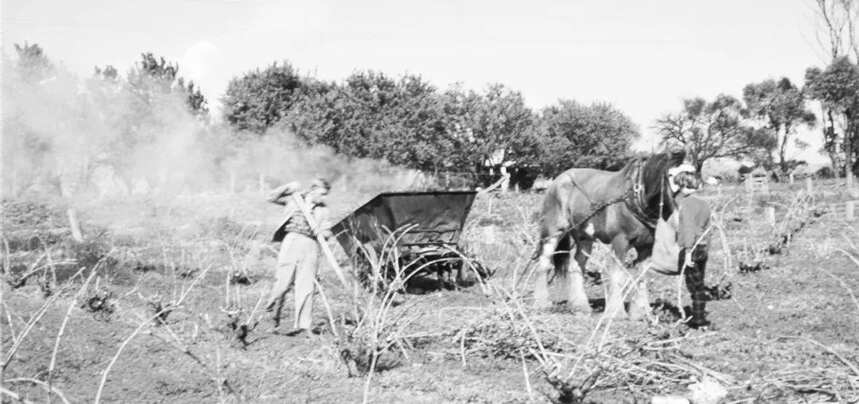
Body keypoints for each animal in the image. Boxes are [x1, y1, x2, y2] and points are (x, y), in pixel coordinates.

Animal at [536, 152, 688, 318]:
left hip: (584, 237)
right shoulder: (620, 241)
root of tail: (558, 179)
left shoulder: (647, 246)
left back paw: (580, 306)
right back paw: (542, 304)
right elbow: (618, 274)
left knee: (577, 264)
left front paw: (641, 312)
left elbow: (642, 276)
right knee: (544, 263)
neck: (634, 197)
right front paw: (616, 312)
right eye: (670, 176)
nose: (677, 216)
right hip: (554, 231)